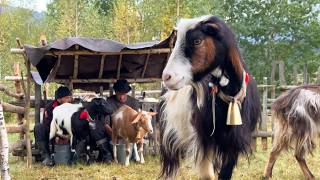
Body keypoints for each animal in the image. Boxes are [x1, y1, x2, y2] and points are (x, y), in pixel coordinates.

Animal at [159, 15, 262, 180]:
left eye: (197, 41)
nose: (167, 76)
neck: (230, 97)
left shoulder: (234, 143)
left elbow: (225, 173)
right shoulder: (204, 139)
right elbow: (207, 174)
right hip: (169, 135)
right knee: (171, 166)